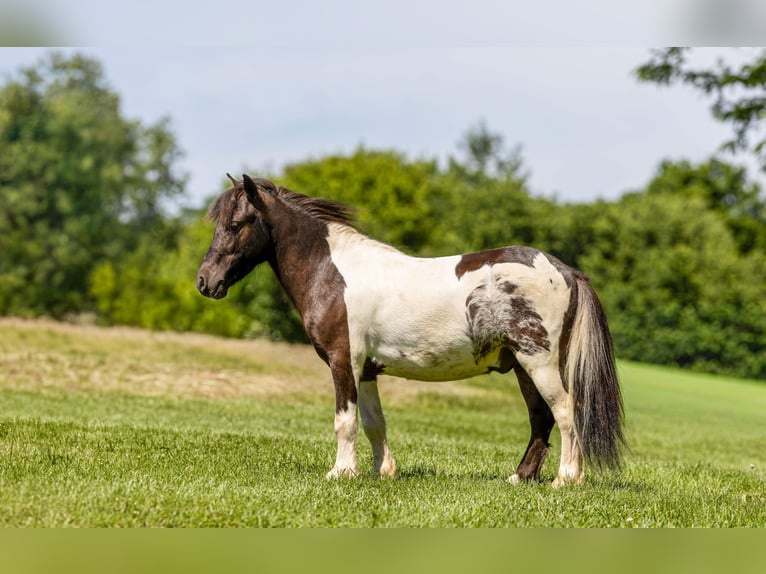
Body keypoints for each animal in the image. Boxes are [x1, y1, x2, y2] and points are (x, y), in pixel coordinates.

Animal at [197, 174, 625, 486]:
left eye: (235, 224)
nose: (204, 281)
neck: (333, 273)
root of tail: (565, 270)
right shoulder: (367, 369)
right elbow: (374, 423)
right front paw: (382, 472)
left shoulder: (343, 361)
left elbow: (344, 421)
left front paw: (340, 473)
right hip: (522, 365)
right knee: (541, 419)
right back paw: (520, 478)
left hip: (539, 362)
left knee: (566, 411)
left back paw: (566, 479)